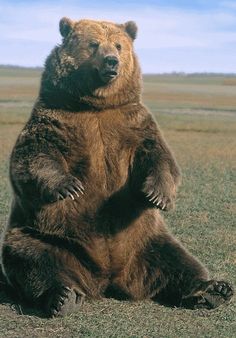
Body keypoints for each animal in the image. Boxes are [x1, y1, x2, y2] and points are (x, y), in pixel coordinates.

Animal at [0, 17, 233, 316]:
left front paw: (157, 195)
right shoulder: (55, 117)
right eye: (93, 43)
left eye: (119, 45)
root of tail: (108, 278)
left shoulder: (134, 123)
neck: (96, 105)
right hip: (49, 234)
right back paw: (63, 296)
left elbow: (160, 157)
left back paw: (213, 290)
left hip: (145, 239)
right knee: (35, 260)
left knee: (178, 260)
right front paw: (69, 186)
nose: (112, 61)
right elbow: (33, 155)